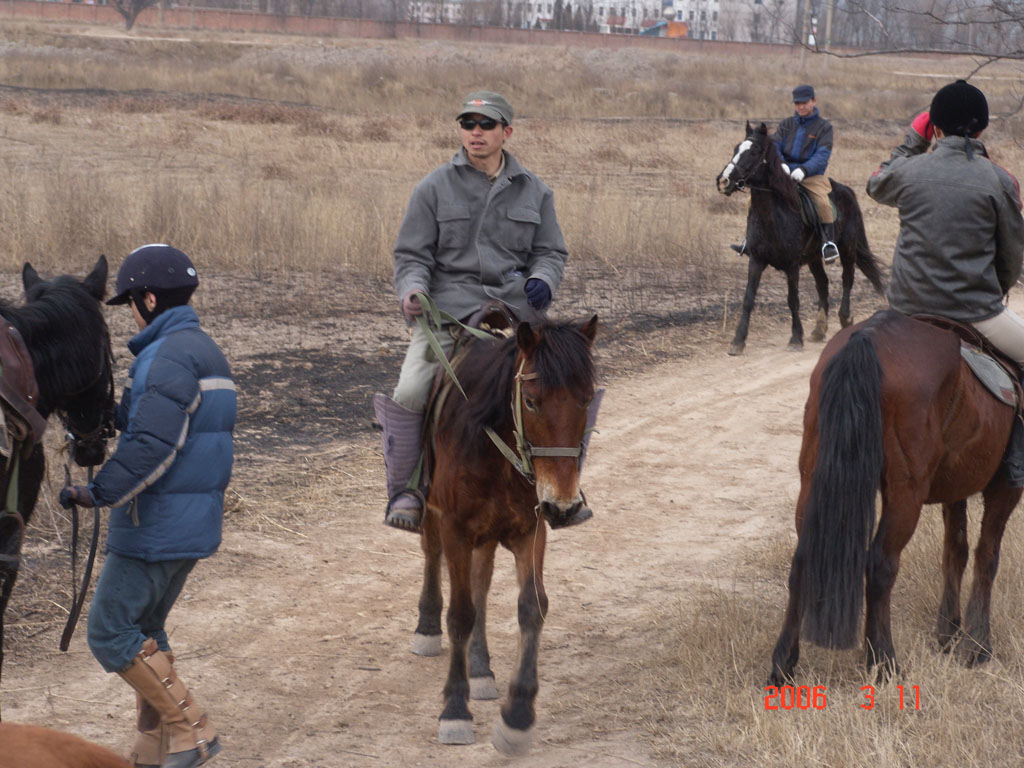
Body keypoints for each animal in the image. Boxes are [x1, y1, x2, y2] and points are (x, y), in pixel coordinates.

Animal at [409, 313, 598, 757]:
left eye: (586, 400)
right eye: (531, 401)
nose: (563, 505)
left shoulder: (531, 529)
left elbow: (532, 606)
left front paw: (518, 716)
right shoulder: (455, 529)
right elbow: (460, 614)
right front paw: (455, 711)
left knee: (481, 582)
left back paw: (481, 669)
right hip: (436, 518)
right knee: (432, 555)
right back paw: (428, 628)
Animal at [712, 122, 888, 358]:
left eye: (754, 152)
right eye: (736, 149)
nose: (723, 181)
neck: (774, 213)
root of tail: (847, 191)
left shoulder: (792, 265)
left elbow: (793, 300)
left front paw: (796, 338)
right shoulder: (756, 260)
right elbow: (748, 299)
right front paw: (738, 341)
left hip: (848, 249)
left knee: (847, 279)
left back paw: (845, 318)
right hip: (814, 258)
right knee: (823, 284)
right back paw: (819, 330)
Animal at [770, 309, 1019, 684]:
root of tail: (869, 337)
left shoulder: (955, 486)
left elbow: (955, 550)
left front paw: (949, 631)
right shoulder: (1005, 488)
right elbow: (986, 556)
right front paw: (977, 645)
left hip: (813, 476)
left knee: (803, 560)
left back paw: (783, 663)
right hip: (905, 491)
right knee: (881, 565)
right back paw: (884, 661)